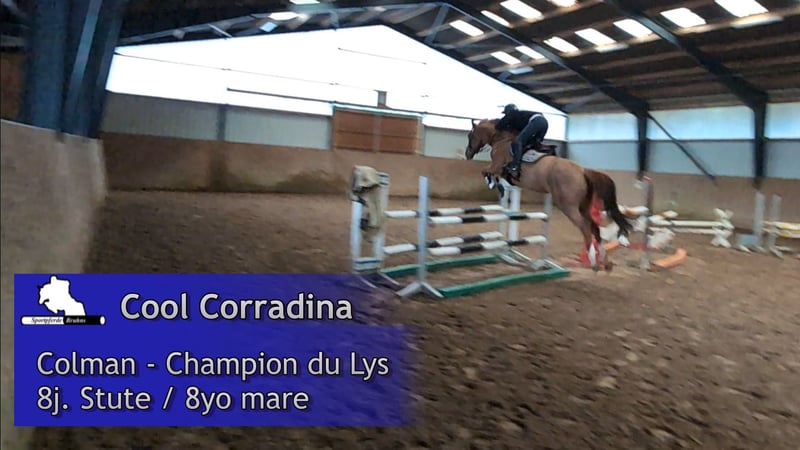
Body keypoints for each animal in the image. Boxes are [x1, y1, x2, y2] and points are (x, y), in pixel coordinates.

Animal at [464, 118, 632, 271]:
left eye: (470, 135)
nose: (468, 154)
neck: (501, 140)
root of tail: (583, 171)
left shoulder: (496, 166)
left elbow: (485, 171)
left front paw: (493, 183)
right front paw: (498, 186)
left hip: (568, 207)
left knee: (585, 228)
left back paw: (593, 261)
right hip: (583, 207)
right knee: (594, 228)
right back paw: (605, 261)